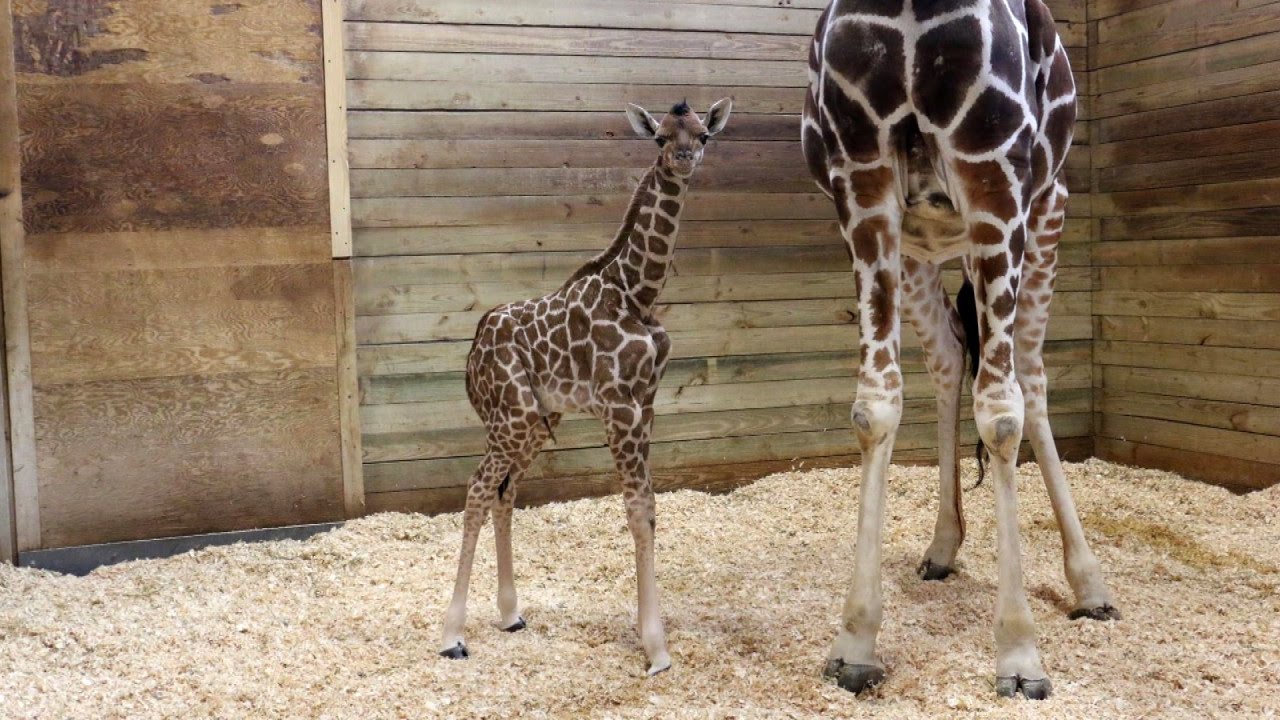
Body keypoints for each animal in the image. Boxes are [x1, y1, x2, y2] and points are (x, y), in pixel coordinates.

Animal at [437, 98, 732, 676]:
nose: (685, 158)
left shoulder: (647, 404)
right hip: (511, 417)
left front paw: (651, 637)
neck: (638, 291)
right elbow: (637, 512)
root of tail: (472, 353)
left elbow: (650, 510)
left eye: (704, 133)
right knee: (478, 488)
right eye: (660, 137)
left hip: (536, 420)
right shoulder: (619, 407)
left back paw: (511, 614)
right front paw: (656, 649)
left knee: (505, 493)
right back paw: (452, 635)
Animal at [803, 0, 1116, 696]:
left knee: (1031, 379)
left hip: (1042, 215)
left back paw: (1090, 585)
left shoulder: (994, 179)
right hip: (925, 246)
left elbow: (1001, 416)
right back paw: (944, 547)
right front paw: (854, 642)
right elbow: (874, 406)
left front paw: (1021, 655)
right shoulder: (861, 183)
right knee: (949, 356)